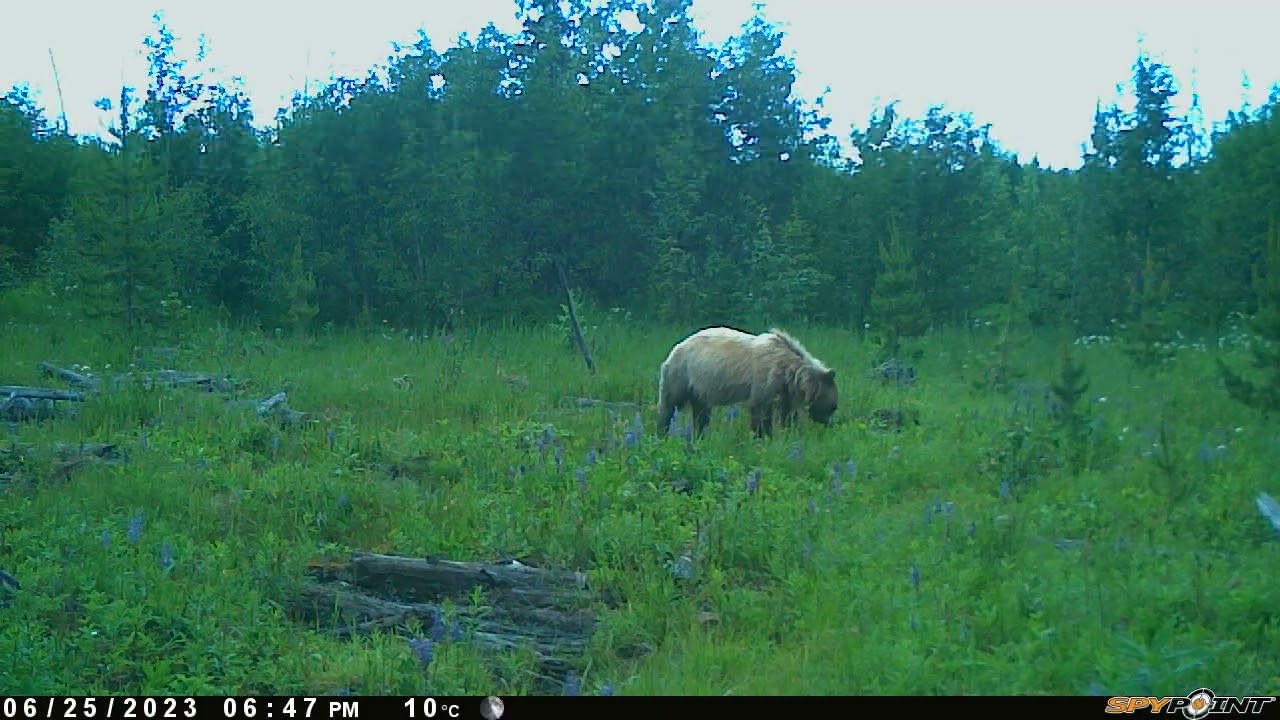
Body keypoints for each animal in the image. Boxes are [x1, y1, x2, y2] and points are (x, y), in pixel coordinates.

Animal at [656, 326, 839, 439]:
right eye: (833, 406)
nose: (830, 424)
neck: (789, 371)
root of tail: (675, 348)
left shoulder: (784, 389)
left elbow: (787, 413)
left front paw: (789, 433)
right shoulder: (765, 379)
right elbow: (760, 410)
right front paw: (763, 436)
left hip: (700, 387)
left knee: (701, 413)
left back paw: (700, 435)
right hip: (682, 374)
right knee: (669, 404)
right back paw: (662, 432)